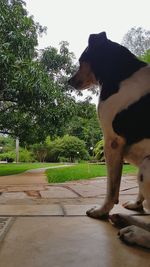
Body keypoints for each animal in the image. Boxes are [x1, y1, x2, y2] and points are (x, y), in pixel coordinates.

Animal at [68, 32, 150, 250]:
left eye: (81, 60)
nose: (69, 81)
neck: (120, 72)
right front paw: (136, 205)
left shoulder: (112, 143)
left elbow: (111, 187)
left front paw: (101, 211)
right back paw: (124, 219)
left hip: (146, 167)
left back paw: (134, 233)